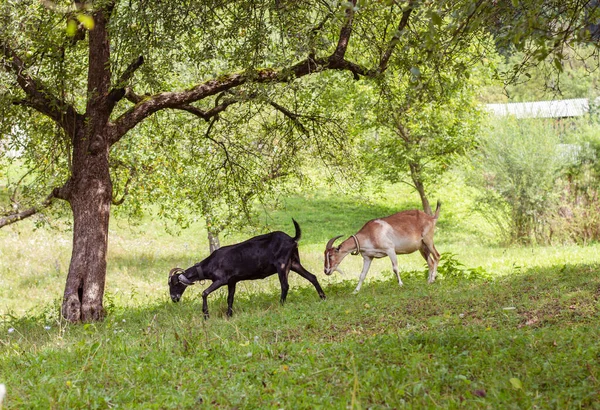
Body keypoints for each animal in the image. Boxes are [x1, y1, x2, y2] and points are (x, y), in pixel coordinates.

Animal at [169, 219, 326, 318]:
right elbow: (230, 298)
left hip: (282, 265)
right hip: (294, 263)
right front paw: (229, 315)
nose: (174, 299)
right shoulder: (232, 281)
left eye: (174, 283)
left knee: (285, 285)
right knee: (312, 276)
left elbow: (204, 293)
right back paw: (322, 297)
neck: (209, 264)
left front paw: (206, 315)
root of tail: (292, 239)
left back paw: (280, 304)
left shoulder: (221, 280)